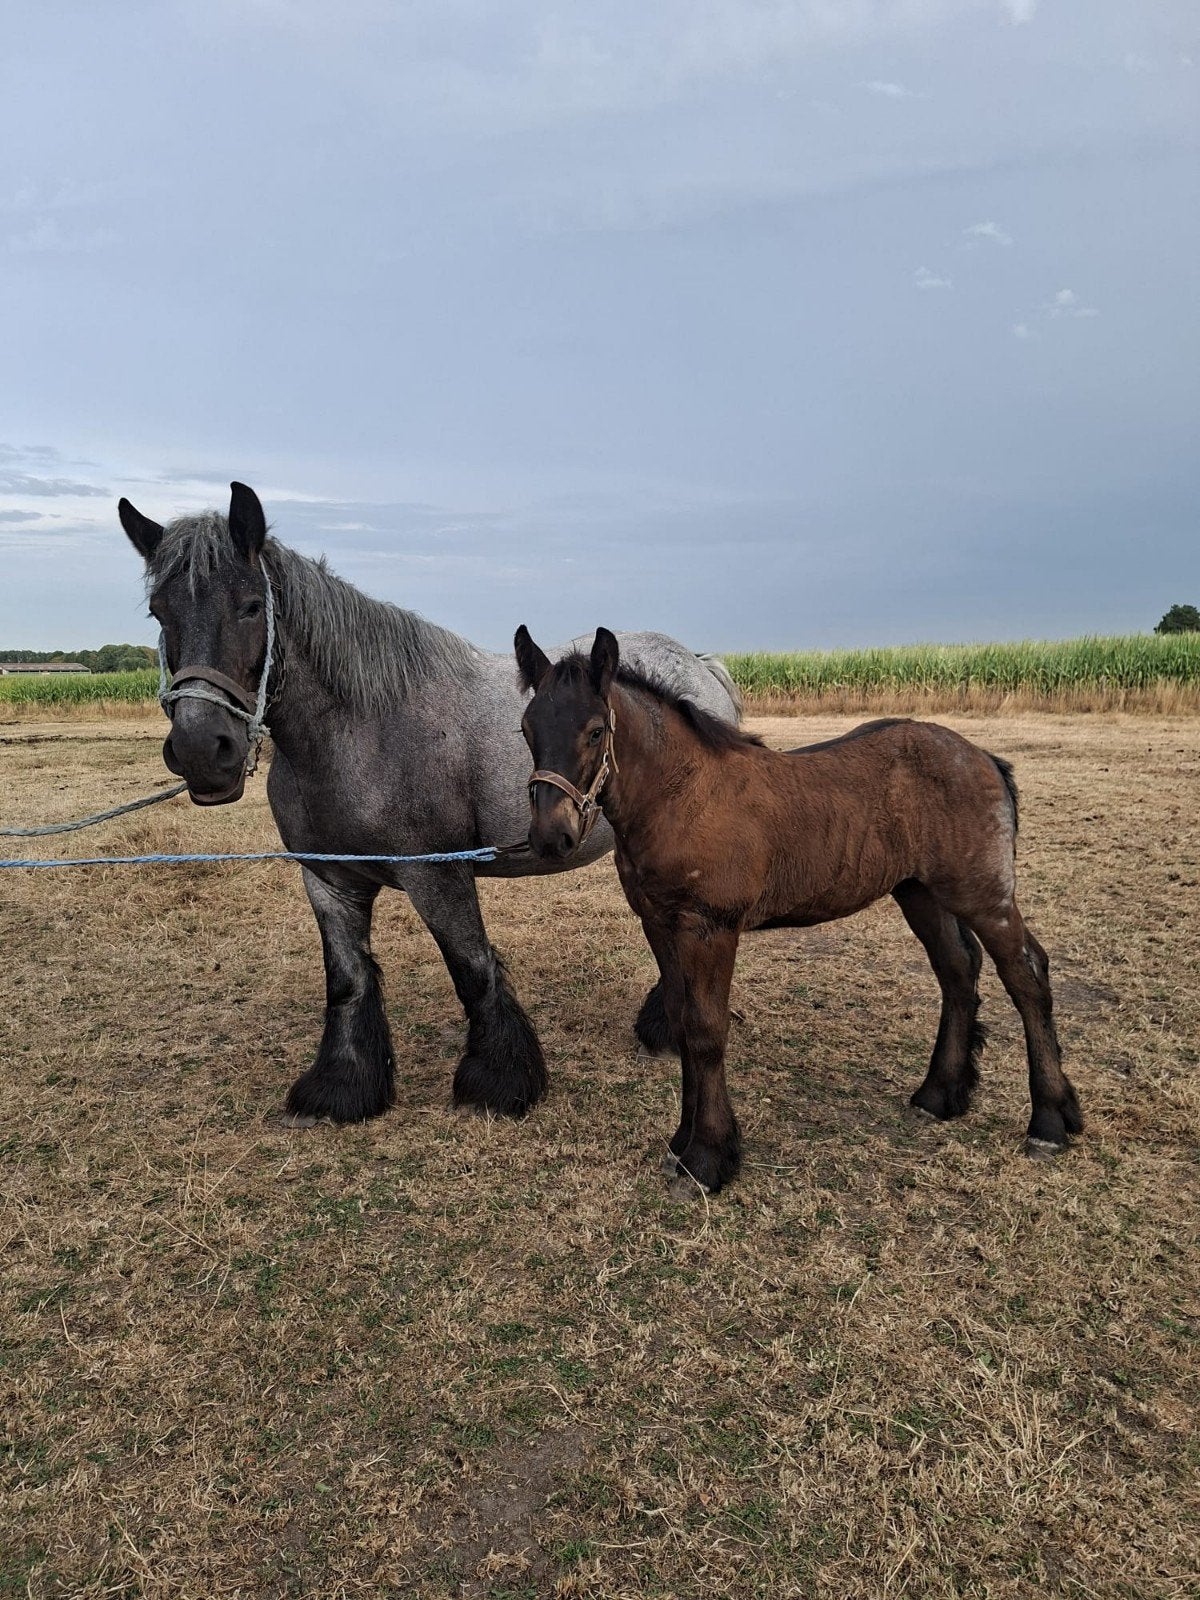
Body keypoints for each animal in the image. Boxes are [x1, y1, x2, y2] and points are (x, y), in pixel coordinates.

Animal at [117, 483, 741, 1124]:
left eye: (249, 606)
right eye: (159, 613)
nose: (201, 749)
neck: (362, 729)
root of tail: (700, 666)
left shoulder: (436, 873)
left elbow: (473, 968)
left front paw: (500, 1080)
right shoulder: (326, 878)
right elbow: (348, 978)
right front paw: (343, 1086)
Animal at [514, 624, 1083, 1192]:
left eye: (594, 731)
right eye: (526, 729)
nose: (551, 837)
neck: (682, 794)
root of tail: (985, 757)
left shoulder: (710, 928)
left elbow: (705, 1031)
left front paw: (708, 1159)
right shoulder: (659, 923)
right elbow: (681, 1021)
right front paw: (682, 1145)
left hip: (984, 895)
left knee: (1027, 974)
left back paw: (1050, 1122)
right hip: (920, 892)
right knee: (958, 971)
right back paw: (939, 1096)